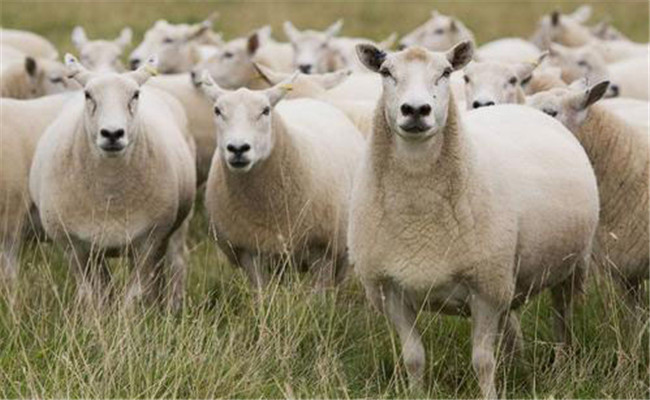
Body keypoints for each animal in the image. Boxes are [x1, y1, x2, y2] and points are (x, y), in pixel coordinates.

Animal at [29, 54, 195, 310]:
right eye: (88, 95)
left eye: (135, 95)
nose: (113, 134)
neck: (111, 191)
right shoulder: (75, 247)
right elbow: (91, 295)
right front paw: (94, 319)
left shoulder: (148, 242)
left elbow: (133, 296)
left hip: (177, 225)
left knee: (176, 261)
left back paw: (172, 307)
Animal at [197, 72, 364, 290]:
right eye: (217, 110)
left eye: (265, 110)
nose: (238, 148)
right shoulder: (248, 251)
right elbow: (262, 293)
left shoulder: (323, 250)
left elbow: (320, 294)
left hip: (342, 249)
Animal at [350, 42, 596, 398]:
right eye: (386, 72)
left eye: (445, 73)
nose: (416, 110)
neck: (418, 217)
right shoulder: (390, 290)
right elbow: (413, 358)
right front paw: (416, 392)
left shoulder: (485, 291)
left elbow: (482, 361)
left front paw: (490, 393)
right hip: (507, 273)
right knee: (513, 323)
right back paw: (517, 363)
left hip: (571, 265)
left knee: (562, 318)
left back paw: (562, 365)